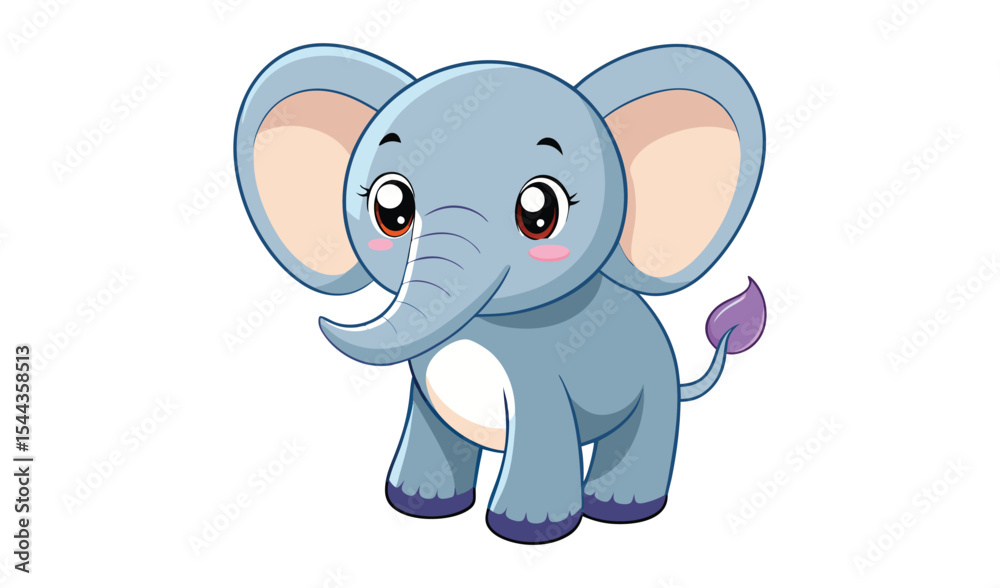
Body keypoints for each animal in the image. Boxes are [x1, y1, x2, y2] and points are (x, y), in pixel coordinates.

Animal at [234, 43, 766, 544]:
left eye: (540, 213)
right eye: (391, 207)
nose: (326, 321)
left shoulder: (541, 378)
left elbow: (541, 432)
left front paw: (527, 528)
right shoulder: (424, 384)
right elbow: (430, 428)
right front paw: (419, 504)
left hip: (654, 385)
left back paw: (621, 509)